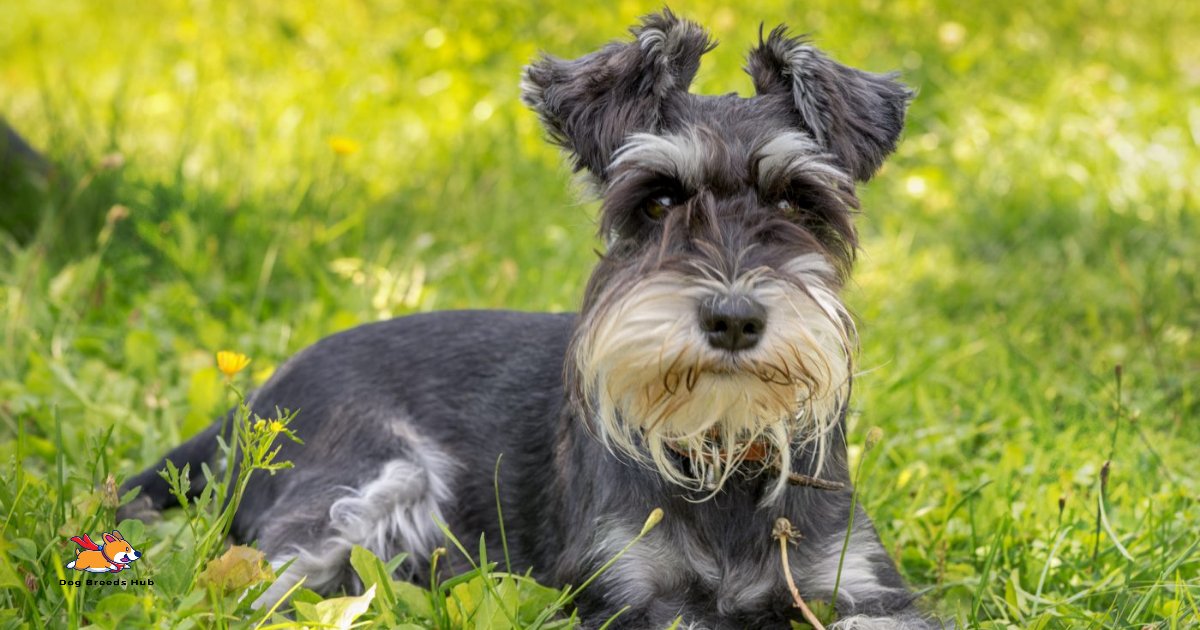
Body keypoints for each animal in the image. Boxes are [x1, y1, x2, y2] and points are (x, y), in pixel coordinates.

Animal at [119, 12, 936, 624]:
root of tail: (256, 398)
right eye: (658, 199)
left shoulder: (861, 589)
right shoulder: (626, 592)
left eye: (798, 200)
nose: (733, 320)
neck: (722, 453)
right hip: (361, 487)